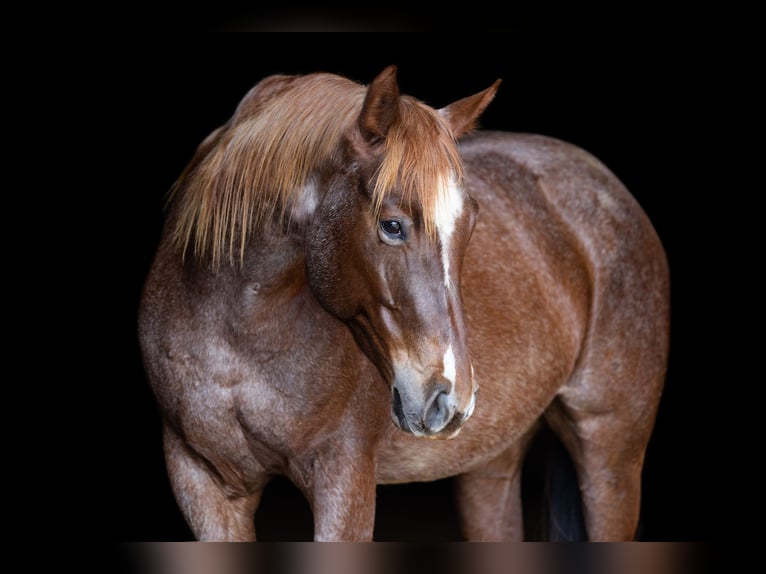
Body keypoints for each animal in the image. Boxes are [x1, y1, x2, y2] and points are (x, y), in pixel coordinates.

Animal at [138, 65, 670, 541]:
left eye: (470, 224)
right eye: (392, 225)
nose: (450, 398)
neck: (239, 334)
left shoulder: (344, 477)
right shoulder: (202, 483)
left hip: (611, 456)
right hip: (490, 462)